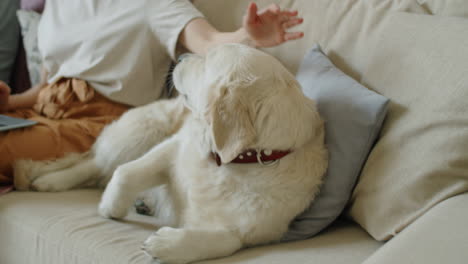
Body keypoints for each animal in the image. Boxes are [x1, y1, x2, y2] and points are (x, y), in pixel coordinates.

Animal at [15, 44, 330, 262]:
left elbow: (224, 240)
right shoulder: (172, 147)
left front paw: (167, 245)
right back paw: (49, 181)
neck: (233, 163)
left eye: (207, 60)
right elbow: (126, 173)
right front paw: (110, 207)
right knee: (94, 164)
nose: (180, 57)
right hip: (144, 130)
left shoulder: (258, 230)